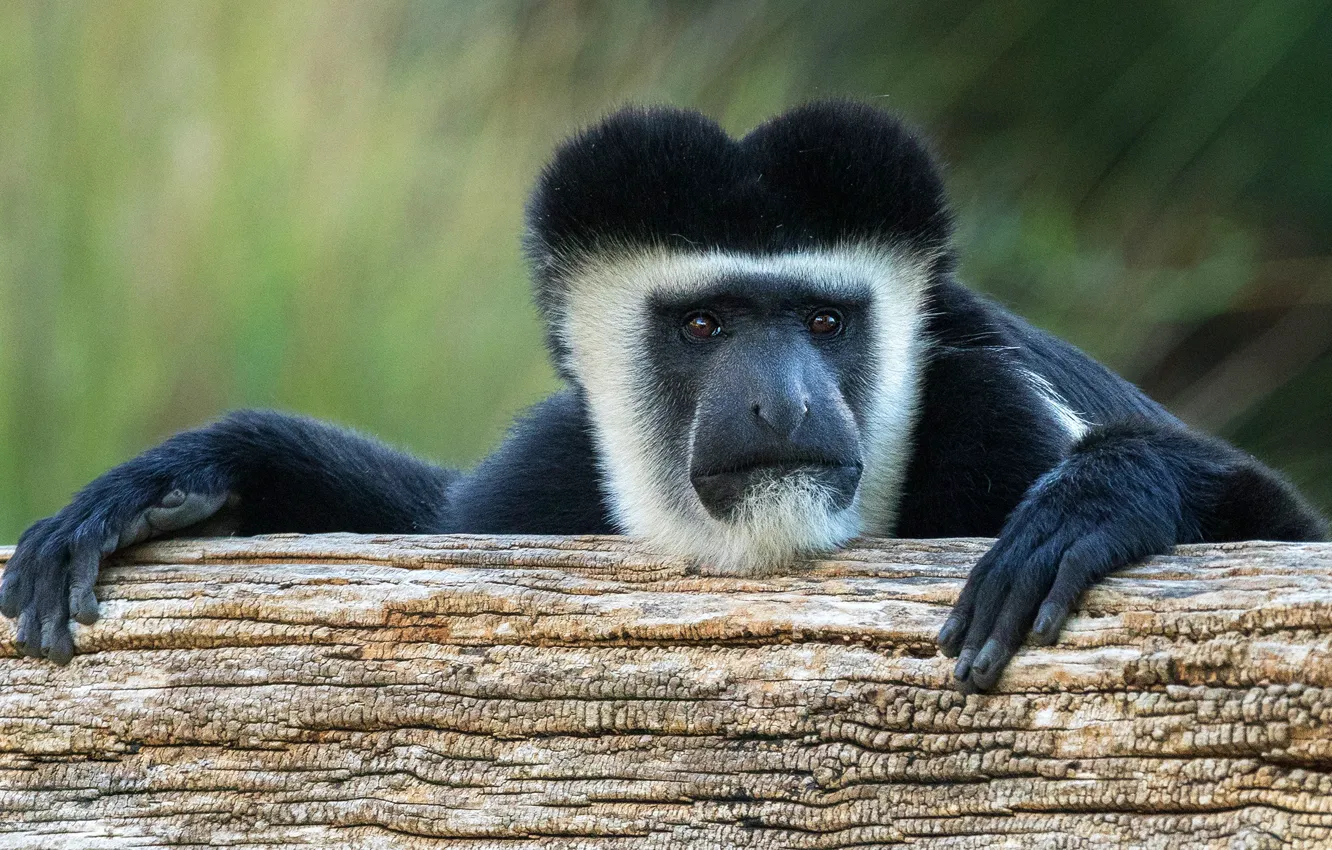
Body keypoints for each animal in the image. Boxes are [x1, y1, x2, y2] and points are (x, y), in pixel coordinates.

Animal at [2, 101, 1325, 692]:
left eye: (824, 322)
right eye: (703, 325)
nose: (783, 407)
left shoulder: (990, 404)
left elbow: (1282, 540)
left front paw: (1095, 505)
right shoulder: (547, 474)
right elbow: (435, 526)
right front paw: (178, 481)